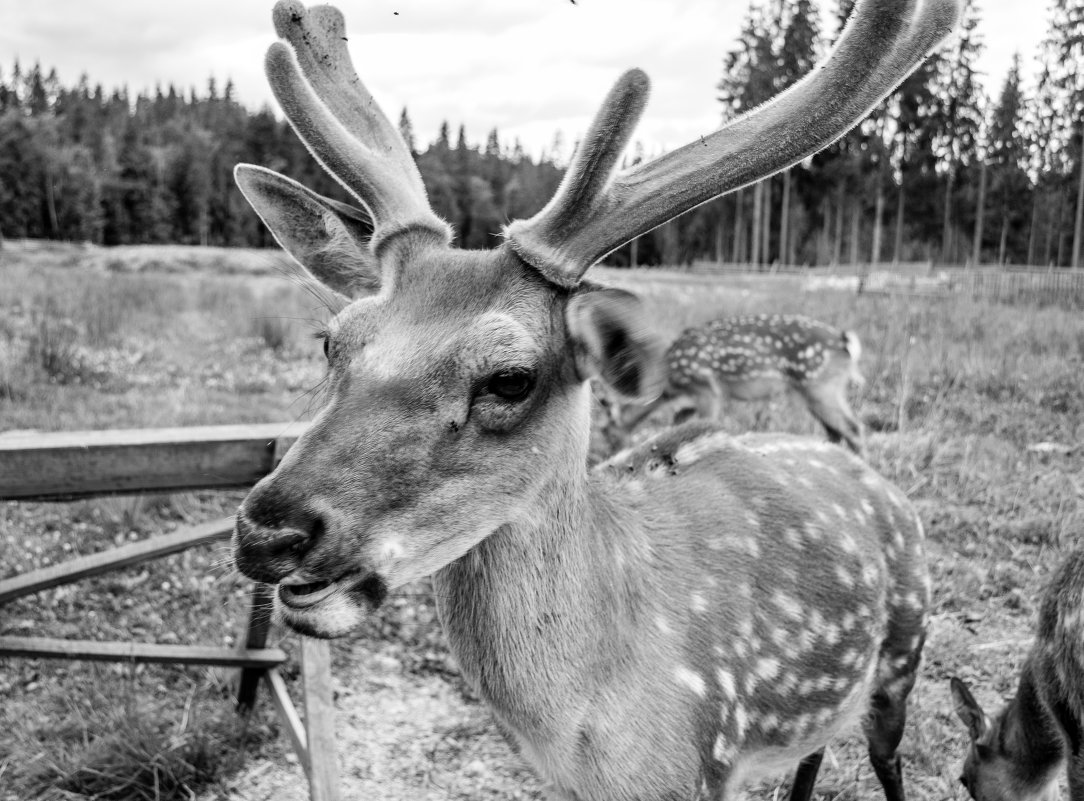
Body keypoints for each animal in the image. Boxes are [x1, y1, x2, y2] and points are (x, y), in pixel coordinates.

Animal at [602, 316, 862, 457]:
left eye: (607, 433)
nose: (609, 455)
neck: (671, 386)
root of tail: (845, 340)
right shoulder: (690, 401)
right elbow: (677, 422)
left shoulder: (707, 389)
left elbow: (705, 422)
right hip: (828, 388)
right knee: (836, 430)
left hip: (819, 385)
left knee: (854, 428)